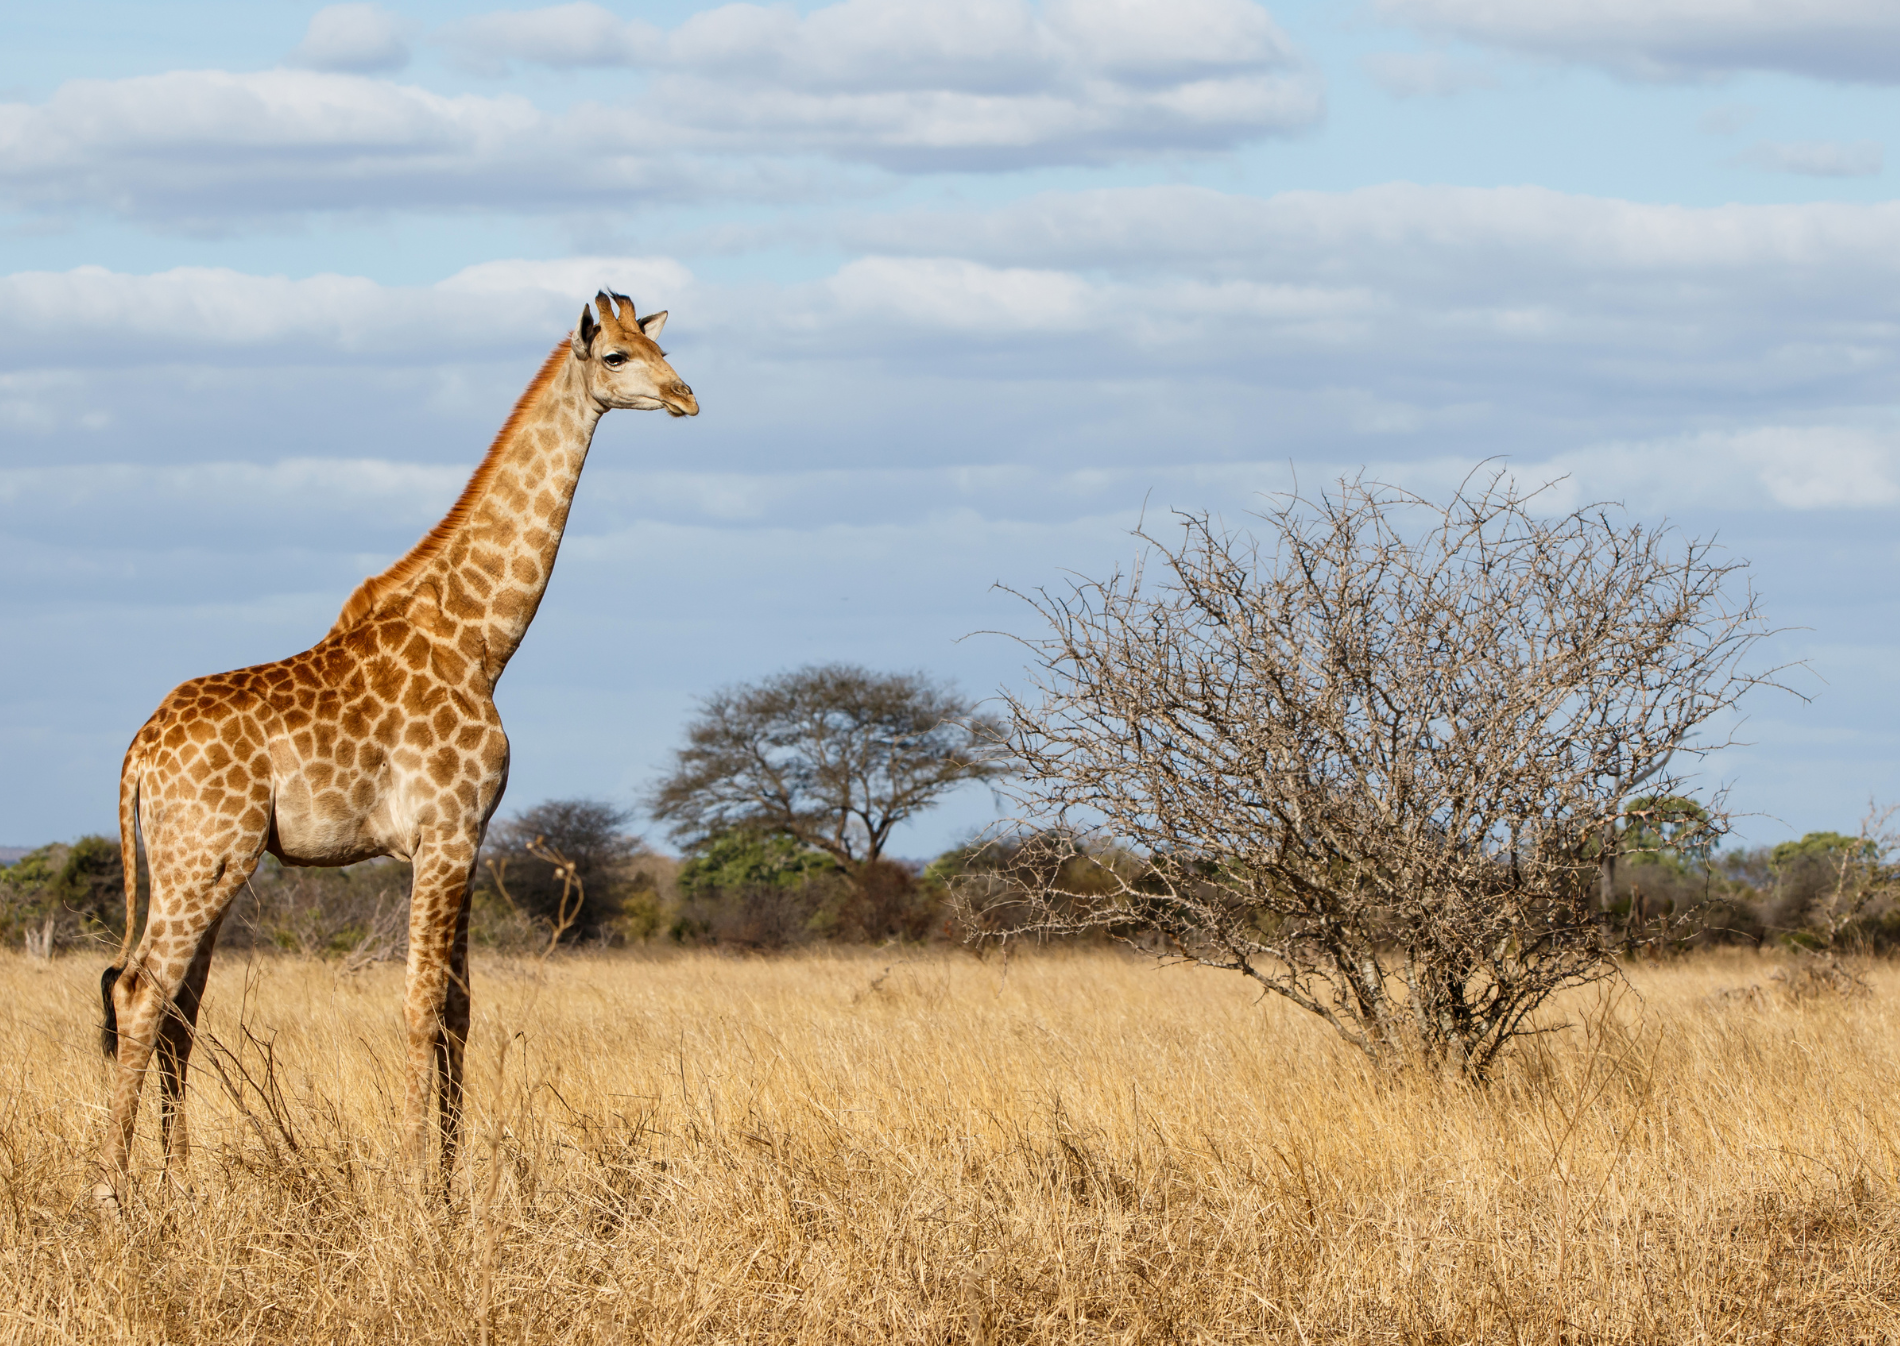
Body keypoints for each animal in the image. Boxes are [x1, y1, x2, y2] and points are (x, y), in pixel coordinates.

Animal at [95, 292, 696, 1206]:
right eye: (618, 356)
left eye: (661, 345)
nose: (686, 396)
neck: (480, 637)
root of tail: (139, 751)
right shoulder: (441, 832)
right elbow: (420, 1008)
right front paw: (420, 1187)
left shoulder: (469, 837)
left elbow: (459, 1011)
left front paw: (450, 1181)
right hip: (208, 854)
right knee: (137, 992)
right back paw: (113, 1190)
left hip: (197, 859)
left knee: (177, 1007)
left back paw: (181, 1182)